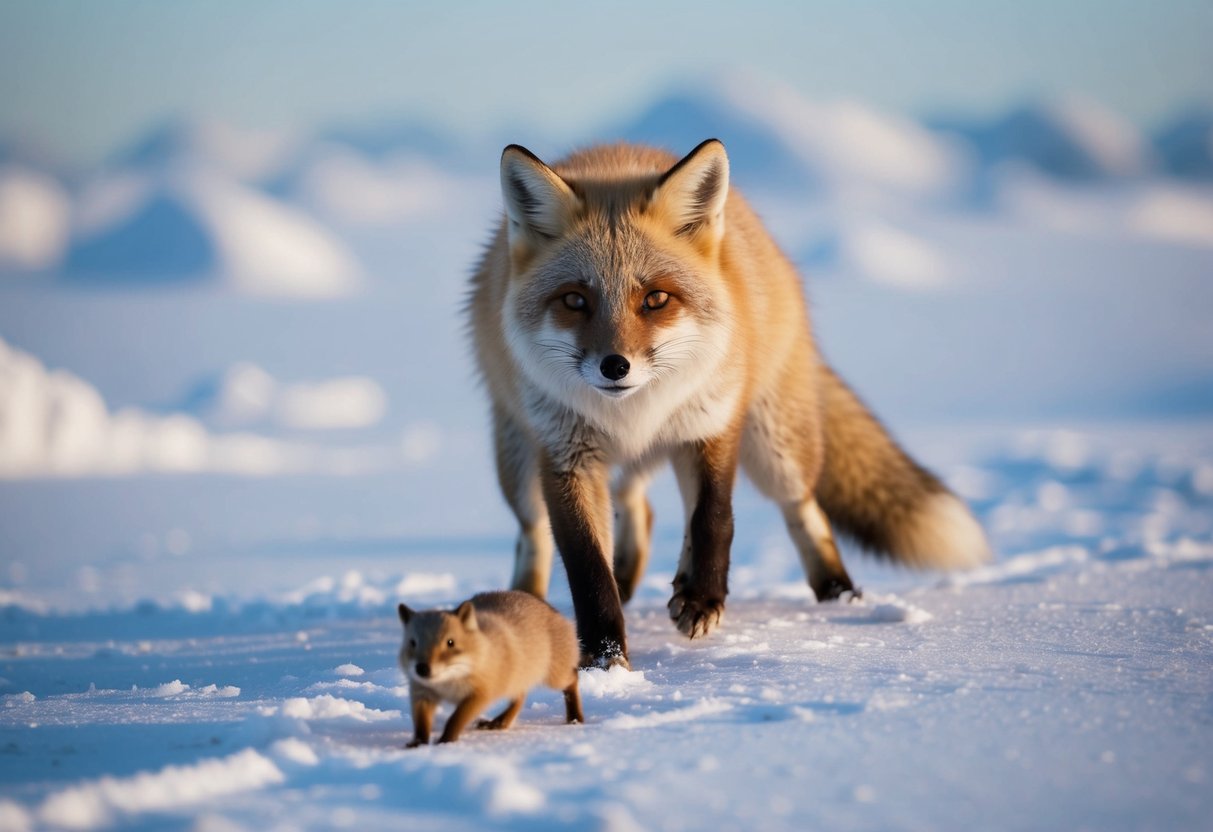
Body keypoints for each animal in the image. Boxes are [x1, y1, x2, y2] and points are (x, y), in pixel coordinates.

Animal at [397, 590, 583, 747]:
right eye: (413, 643)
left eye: (450, 642)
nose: (422, 669)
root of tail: (549, 607)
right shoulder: (422, 694)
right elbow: (421, 725)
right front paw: (418, 744)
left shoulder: (479, 696)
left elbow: (454, 720)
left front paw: (446, 741)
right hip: (517, 680)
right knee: (520, 698)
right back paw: (500, 722)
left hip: (555, 678)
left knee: (573, 678)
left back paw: (575, 718)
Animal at [467, 138, 992, 668]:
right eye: (574, 300)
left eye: (656, 299)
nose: (615, 367)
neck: (634, 414)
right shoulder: (566, 456)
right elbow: (587, 566)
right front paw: (605, 659)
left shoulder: (711, 424)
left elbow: (713, 519)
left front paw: (702, 600)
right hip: (520, 466)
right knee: (552, 528)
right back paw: (542, 603)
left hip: (773, 446)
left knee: (801, 507)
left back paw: (837, 595)